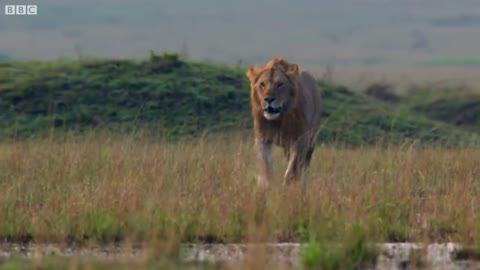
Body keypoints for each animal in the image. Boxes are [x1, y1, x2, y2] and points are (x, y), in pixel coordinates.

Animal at [244, 56, 322, 189]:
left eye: (280, 84)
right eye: (262, 84)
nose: (268, 99)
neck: (279, 120)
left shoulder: (300, 140)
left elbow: (292, 168)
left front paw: (286, 186)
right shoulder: (262, 139)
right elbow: (266, 165)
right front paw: (267, 185)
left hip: (311, 140)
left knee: (304, 165)